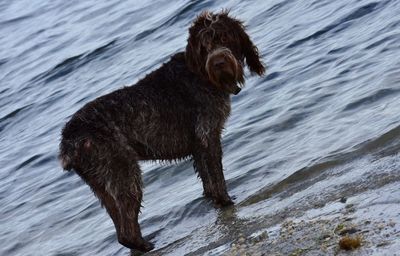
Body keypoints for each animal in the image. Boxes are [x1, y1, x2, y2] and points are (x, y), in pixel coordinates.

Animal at [58, 10, 266, 252]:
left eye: (224, 37)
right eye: (203, 46)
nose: (218, 62)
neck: (200, 73)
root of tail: (69, 139)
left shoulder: (198, 146)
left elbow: (208, 181)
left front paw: (213, 200)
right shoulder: (208, 138)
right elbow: (217, 177)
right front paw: (226, 202)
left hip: (101, 186)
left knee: (119, 225)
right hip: (124, 173)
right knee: (126, 229)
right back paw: (147, 245)